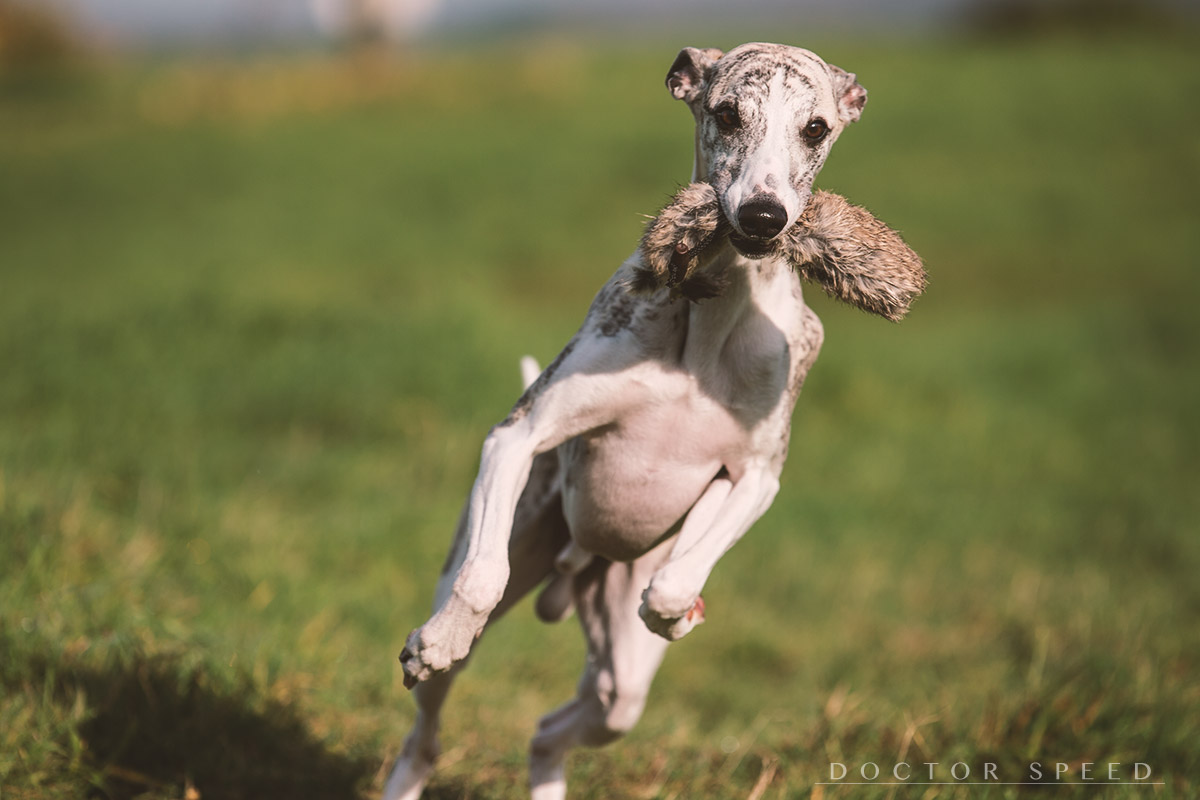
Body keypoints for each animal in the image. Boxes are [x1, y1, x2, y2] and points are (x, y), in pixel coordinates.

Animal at [388, 42, 878, 800]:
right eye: (726, 113)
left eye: (817, 127)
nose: (764, 216)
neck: (710, 320)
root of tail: (577, 563)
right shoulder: (519, 435)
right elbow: (483, 575)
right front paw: (440, 639)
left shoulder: (759, 475)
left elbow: (679, 577)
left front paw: (675, 612)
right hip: (522, 535)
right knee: (428, 731)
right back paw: (437, 662)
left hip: (619, 681)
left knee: (556, 727)